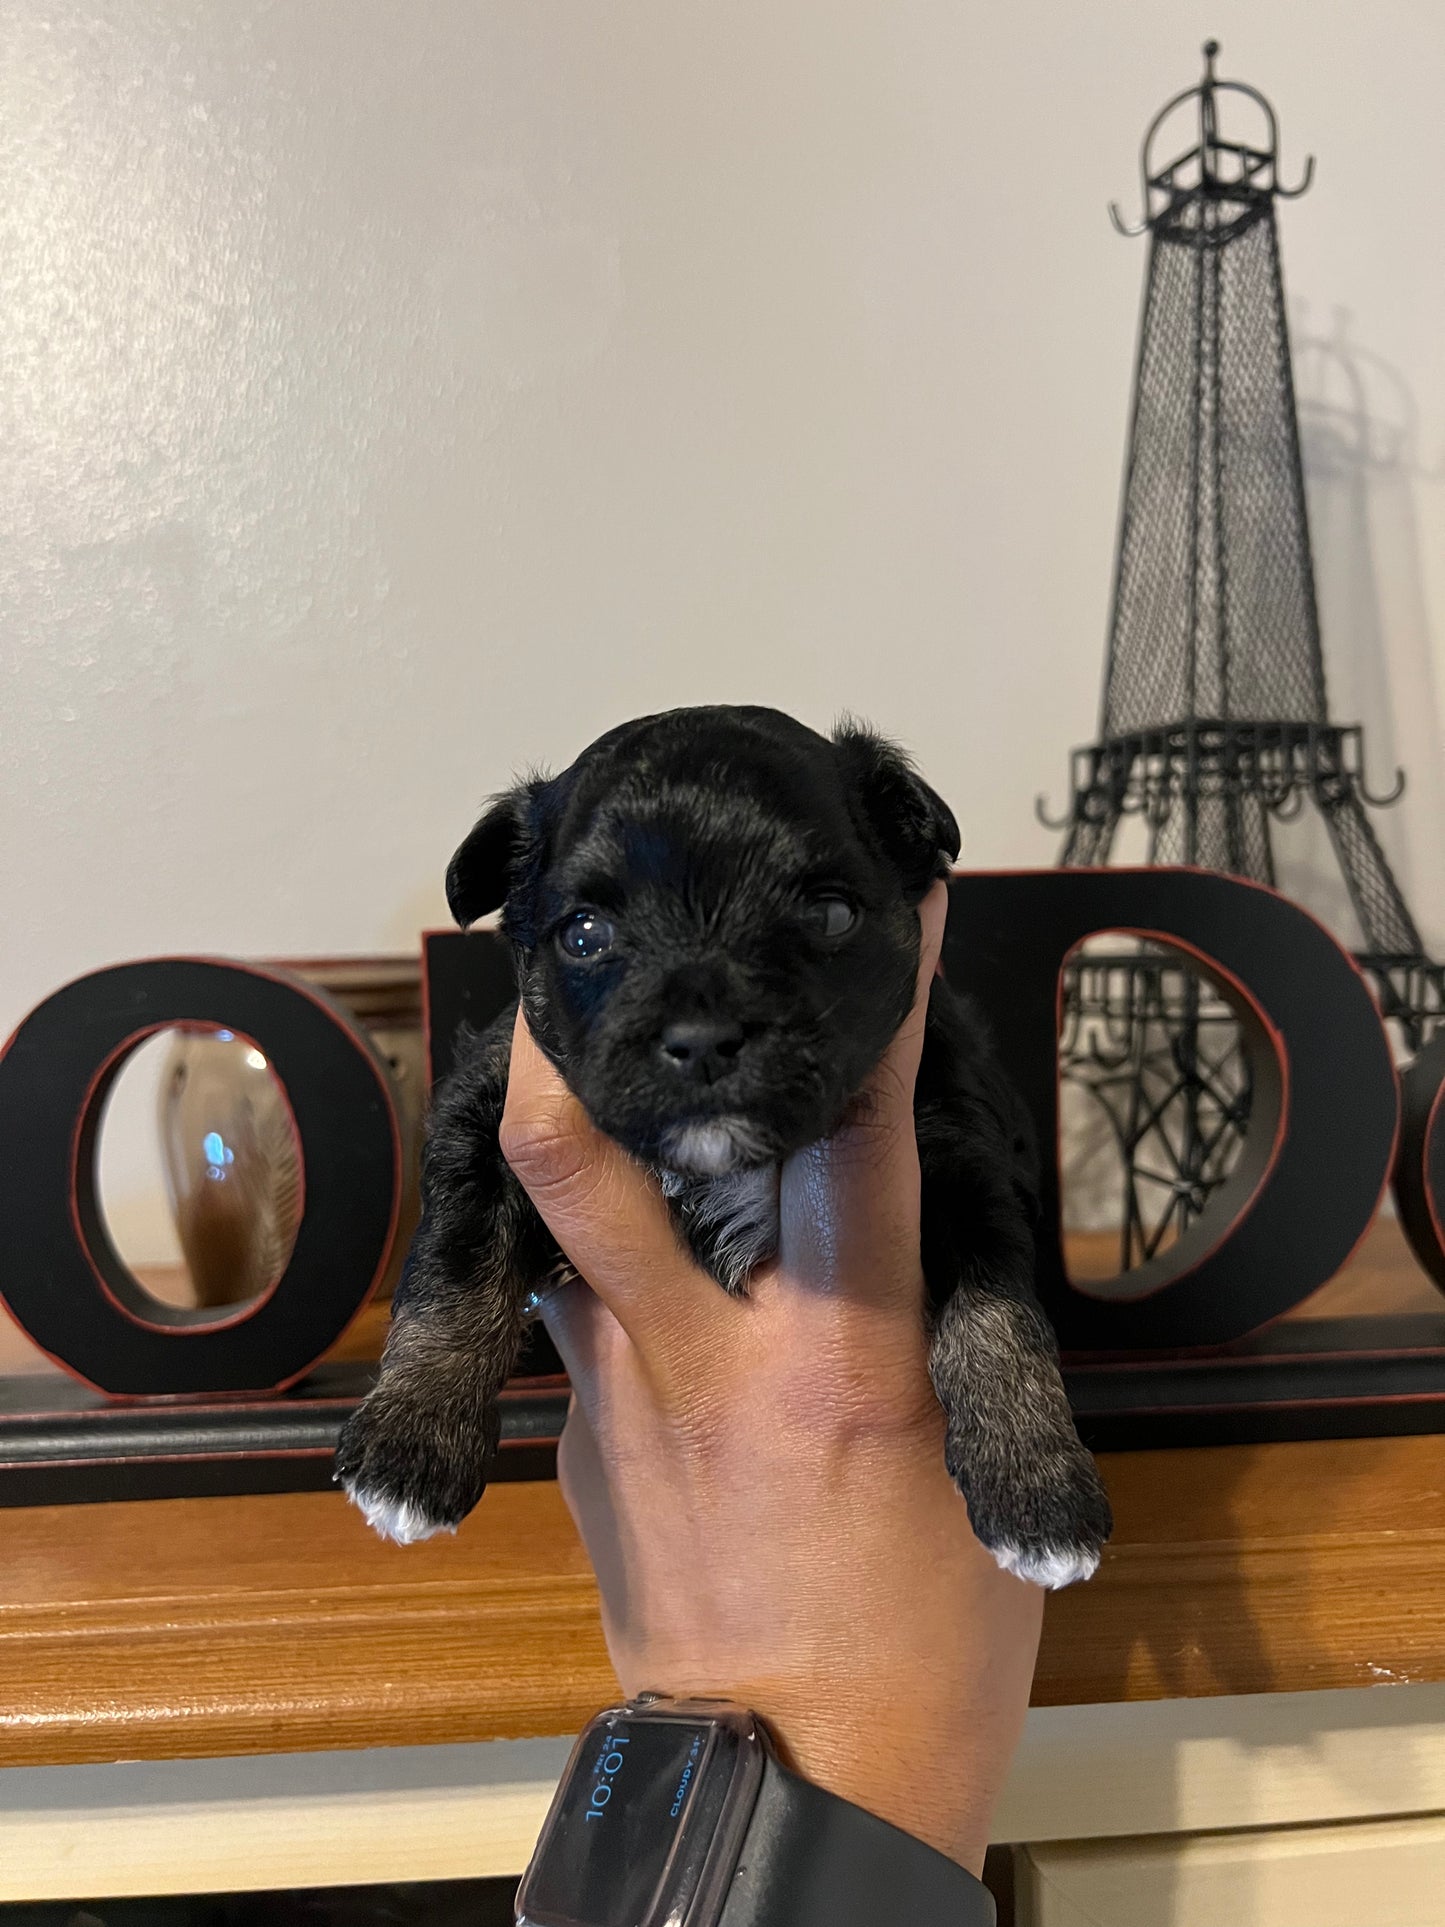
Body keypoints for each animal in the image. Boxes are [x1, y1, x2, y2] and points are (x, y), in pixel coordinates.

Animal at [333, 705, 1117, 1580]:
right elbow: (456, 1265)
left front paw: (1036, 1489)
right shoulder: (484, 1109)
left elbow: (998, 1315)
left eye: (829, 915)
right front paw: (409, 1443)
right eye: (585, 933)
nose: (703, 1038)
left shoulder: (962, 1155)